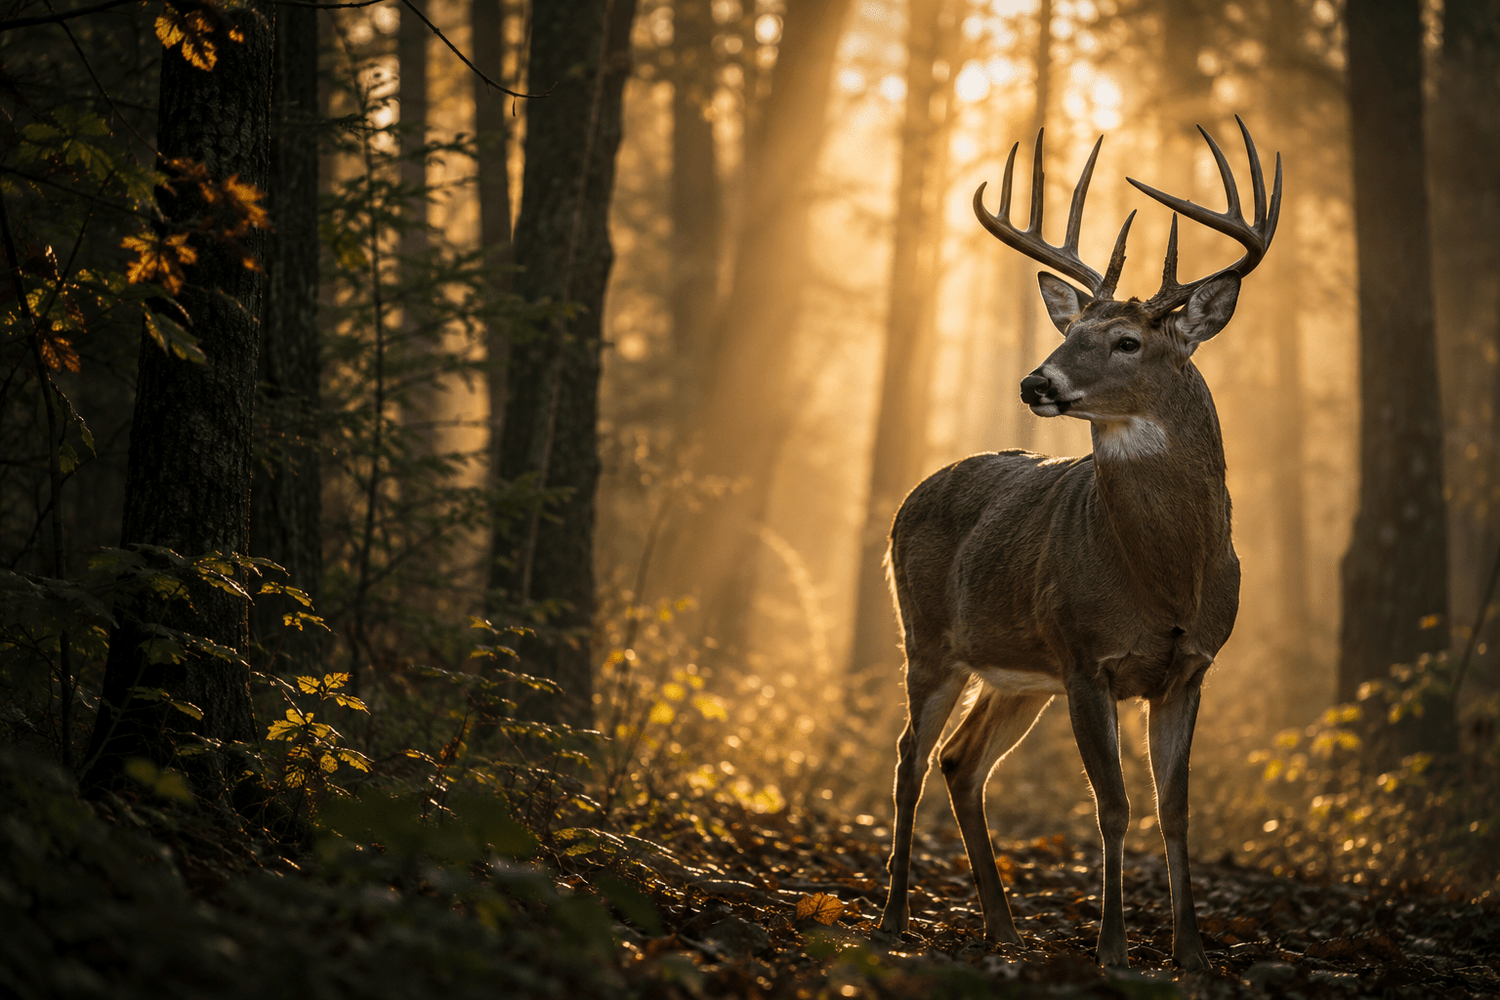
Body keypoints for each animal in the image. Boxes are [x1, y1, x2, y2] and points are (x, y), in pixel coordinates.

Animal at [877, 117, 1280, 972]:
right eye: (1073, 330)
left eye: (1126, 341)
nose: (1037, 382)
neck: (1165, 578)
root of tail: (912, 494)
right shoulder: (1087, 657)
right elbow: (1114, 806)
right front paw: (1115, 950)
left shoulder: (1189, 669)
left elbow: (1173, 810)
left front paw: (1192, 955)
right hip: (929, 637)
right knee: (909, 758)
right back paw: (892, 921)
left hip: (1020, 673)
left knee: (961, 762)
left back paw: (1004, 931)